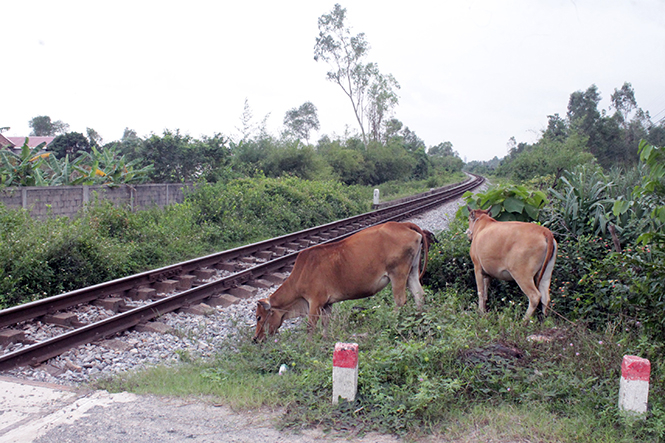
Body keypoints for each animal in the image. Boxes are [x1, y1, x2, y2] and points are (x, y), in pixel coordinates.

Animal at [252, 222, 428, 344]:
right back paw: (419, 319)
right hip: (411, 272)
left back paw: (392, 321)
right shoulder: (327, 304)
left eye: (259, 317)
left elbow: (311, 326)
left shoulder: (315, 302)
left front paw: (308, 344)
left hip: (397, 274)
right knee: (419, 295)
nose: (255, 339)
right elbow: (325, 322)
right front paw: (324, 338)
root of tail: (402, 224)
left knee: (400, 300)